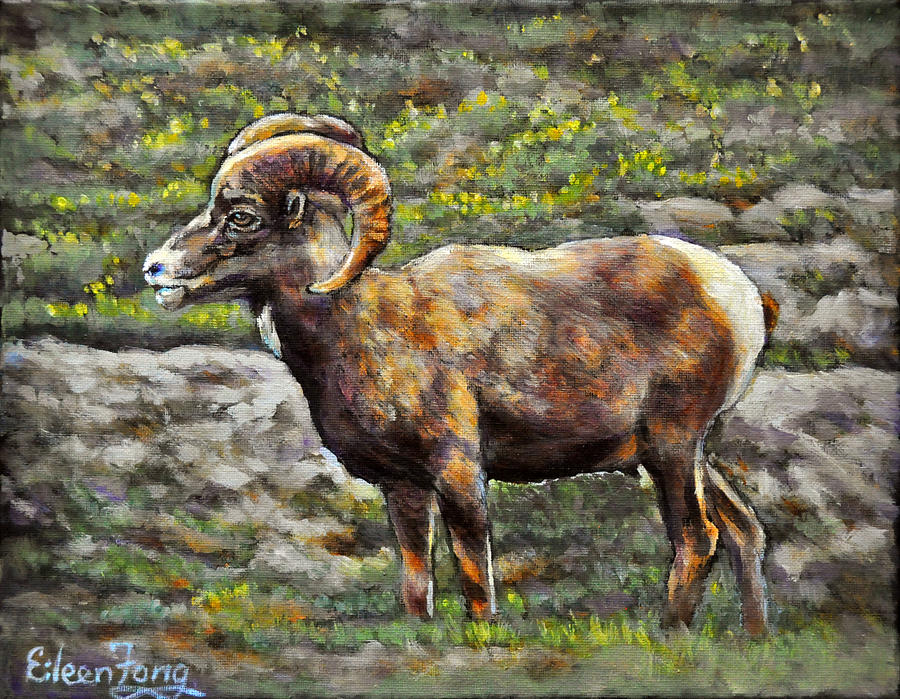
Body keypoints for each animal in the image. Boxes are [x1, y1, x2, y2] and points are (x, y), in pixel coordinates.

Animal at [144, 113, 775, 636]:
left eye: (242, 216)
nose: (156, 269)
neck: (361, 328)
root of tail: (738, 296)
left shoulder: (458, 471)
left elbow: (473, 567)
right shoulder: (402, 487)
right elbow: (415, 575)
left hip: (673, 447)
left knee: (698, 538)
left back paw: (671, 633)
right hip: (682, 454)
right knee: (745, 529)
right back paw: (755, 637)